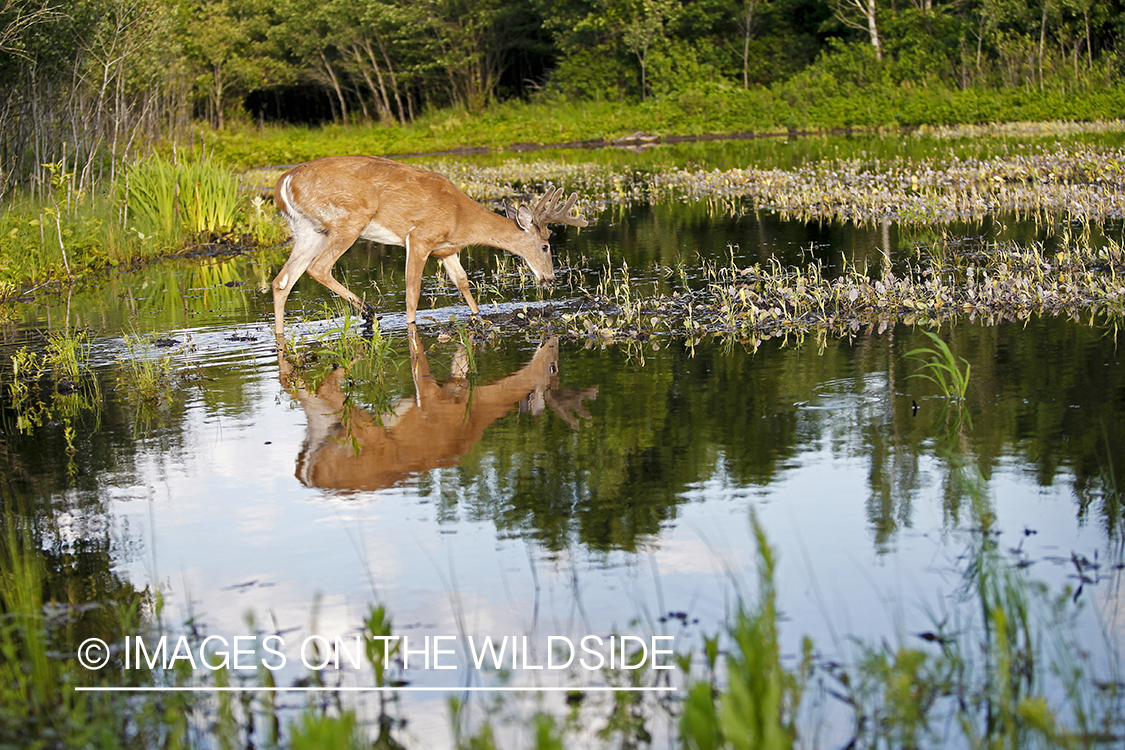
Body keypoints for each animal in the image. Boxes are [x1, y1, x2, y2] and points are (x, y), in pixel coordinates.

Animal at [272, 155, 589, 337]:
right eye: (546, 246)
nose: (550, 280)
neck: (461, 218)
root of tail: (284, 181)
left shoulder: (446, 249)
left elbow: (462, 281)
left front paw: (478, 317)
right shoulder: (420, 238)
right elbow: (413, 292)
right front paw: (411, 325)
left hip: (309, 230)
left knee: (282, 281)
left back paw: (280, 338)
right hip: (349, 219)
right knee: (318, 267)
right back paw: (368, 311)